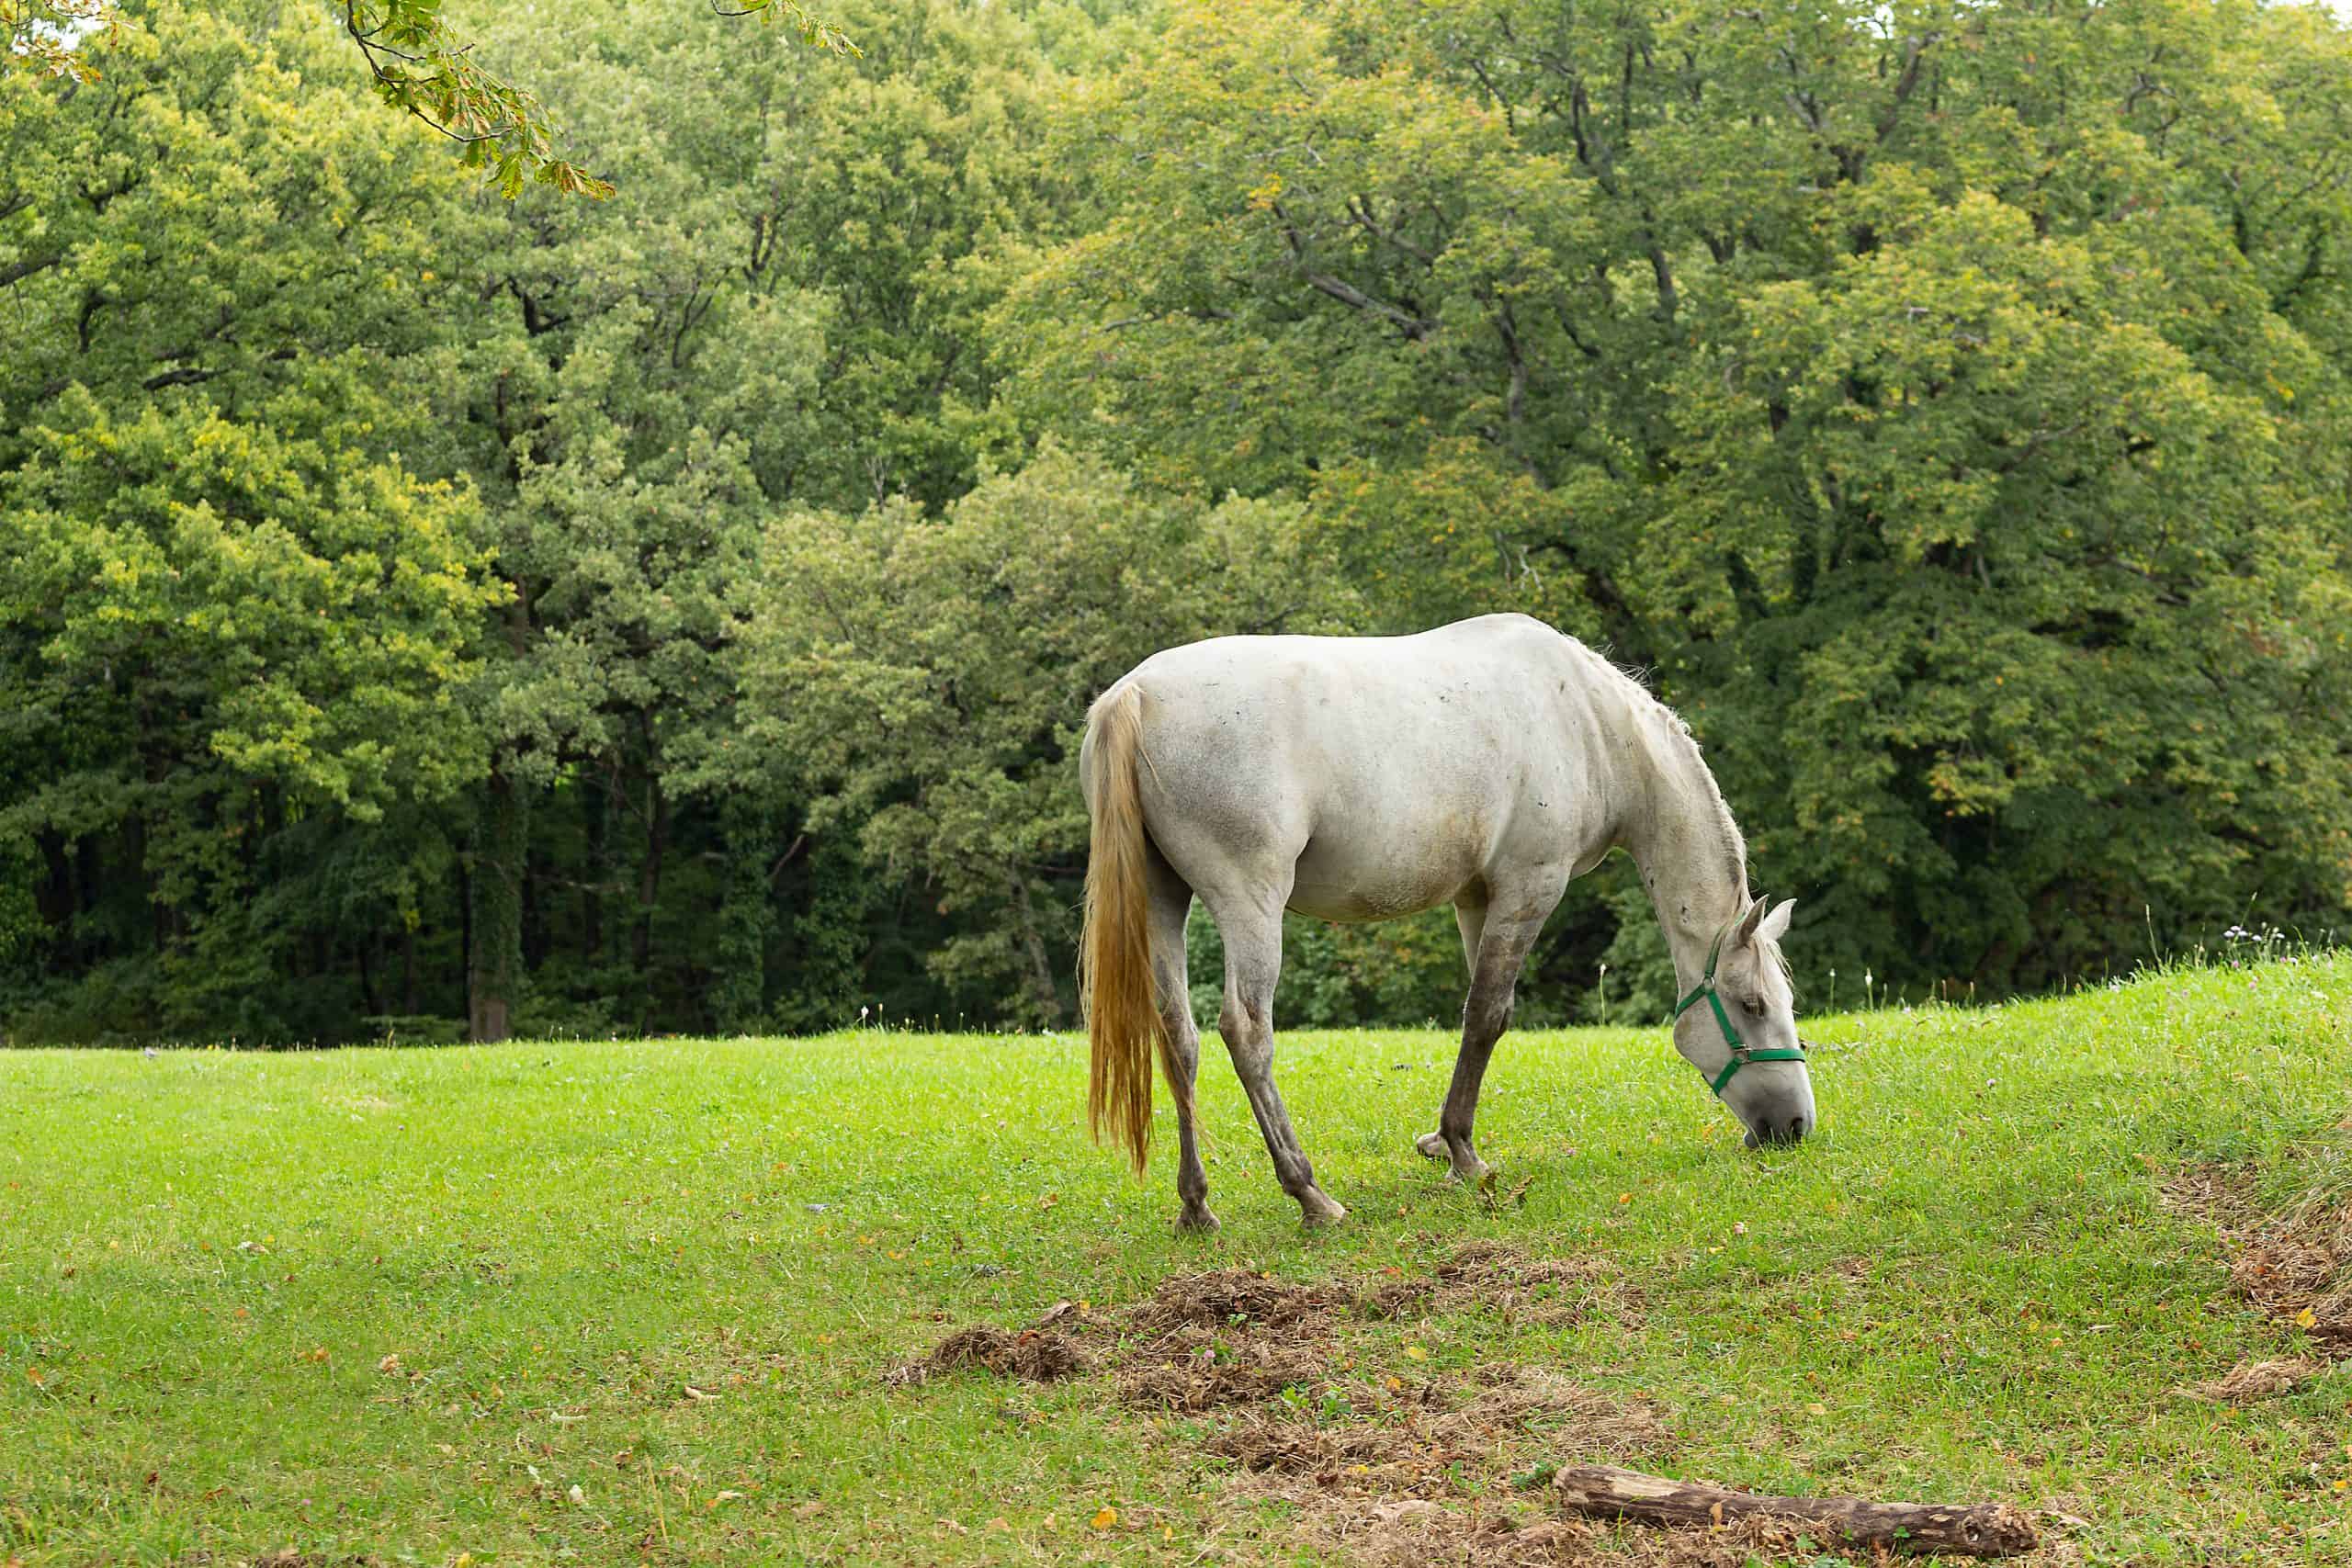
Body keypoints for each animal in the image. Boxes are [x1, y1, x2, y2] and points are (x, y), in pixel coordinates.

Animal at [1077, 620, 1806, 1232]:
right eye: (1752, 1004)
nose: (1796, 1125)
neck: (1591, 724)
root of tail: (1136, 695)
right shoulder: (1528, 889)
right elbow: (1488, 1016)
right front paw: (1462, 1153)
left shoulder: (1476, 899)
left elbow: (1477, 1019)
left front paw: (1443, 1144)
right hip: (1249, 902)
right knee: (1245, 1032)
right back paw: (1309, 1193)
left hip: (1163, 902)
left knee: (1180, 1038)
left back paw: (1196, 1205)